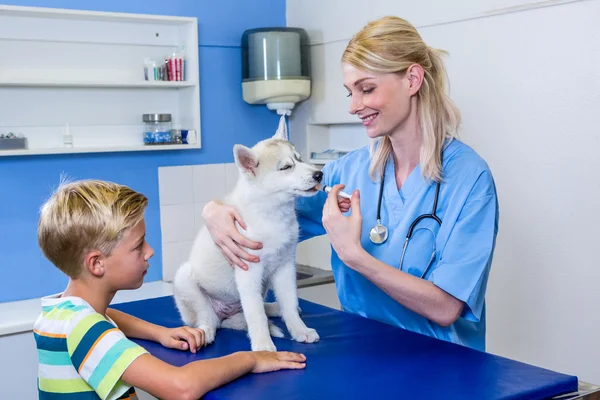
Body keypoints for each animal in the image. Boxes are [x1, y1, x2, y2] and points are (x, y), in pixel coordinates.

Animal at [173, 130, 324, 352]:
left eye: (299, 159)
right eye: (286, 167)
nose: (319, 174)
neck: (273, 215)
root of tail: (226, 316)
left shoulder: (286, 266)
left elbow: (289, 303)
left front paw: (300, 330)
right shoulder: (248, 270)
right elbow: (256, 314)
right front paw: (263, 346)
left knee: (266, 307)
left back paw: (275, 308)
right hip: (185, 280)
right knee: (209, 318)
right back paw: (205, 332)